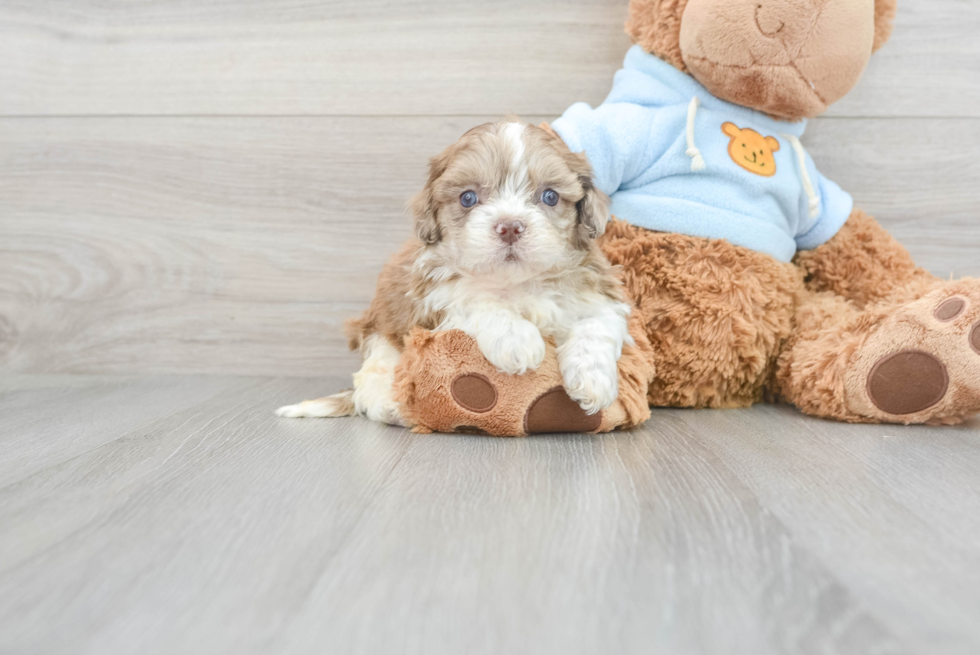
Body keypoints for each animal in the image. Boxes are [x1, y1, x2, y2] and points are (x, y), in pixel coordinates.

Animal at [278, 121, 628, 428]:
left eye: (550, 196)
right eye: (468, 198)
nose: (510, 226)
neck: (517, 282)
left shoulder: (599, 293)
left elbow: (599, 322)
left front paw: (592, 378)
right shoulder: (431, 300)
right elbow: (475, 301)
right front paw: (515, 338)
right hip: (380, 334)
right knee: (373, 378)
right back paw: (393, 405)